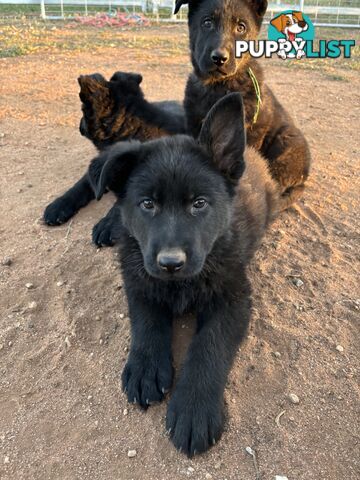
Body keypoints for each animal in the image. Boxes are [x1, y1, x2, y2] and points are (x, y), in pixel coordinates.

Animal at [44, 70, 186, 248]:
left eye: (83, 112)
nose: (79, 126)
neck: (133, 129)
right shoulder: (99, 166)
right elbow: (81, 185)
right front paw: (59, 204)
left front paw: (107, 224)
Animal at [88, 93, 280, 454]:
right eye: (148, 204)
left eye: (199, 203)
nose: (171, 263)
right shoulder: (138, 277)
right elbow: (147, 319)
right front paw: (146, 366)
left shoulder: (234, 298)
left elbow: (209, 345)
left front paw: (193, 408)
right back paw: (109, 223)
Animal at [176, 0, 310, 210]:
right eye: (207, 22)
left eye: (241, 27)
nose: (219, 58)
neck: (219, 86)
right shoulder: (193, 124)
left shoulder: (253, 131)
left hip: (287, 141)